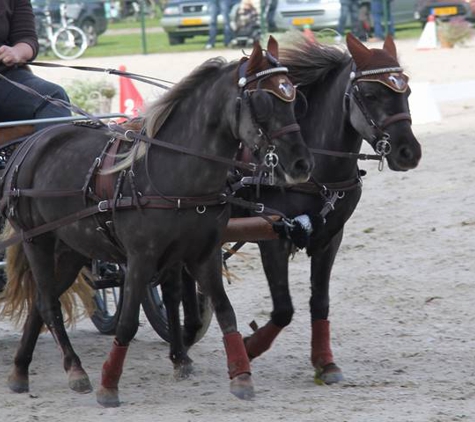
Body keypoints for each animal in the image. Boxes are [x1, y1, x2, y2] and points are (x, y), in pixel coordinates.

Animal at [0, 38, 316, 408]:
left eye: (294, 96)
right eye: (263, 100)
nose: (301, 164)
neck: (173, 170)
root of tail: (30, 145)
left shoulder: (203, 254)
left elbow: (225, 311)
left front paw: (240, 376)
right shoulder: (141, 258)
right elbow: (127, 323)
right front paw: (109, 385)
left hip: (72, 248)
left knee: (40, 303)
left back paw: (20, 371)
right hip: (37, 241)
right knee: (49, 304)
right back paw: (75, 370)